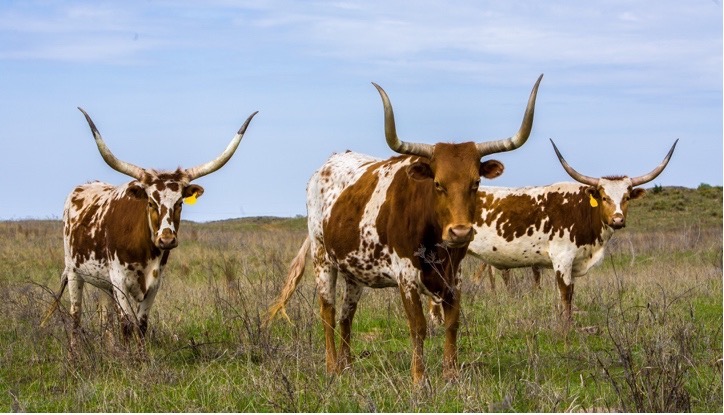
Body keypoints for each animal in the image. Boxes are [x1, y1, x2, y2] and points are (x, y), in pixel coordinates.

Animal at [42, 108, 258, 351]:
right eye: (151, 203)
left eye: (180, 203)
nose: (166, 240)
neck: (143, 251)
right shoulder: (119, 280)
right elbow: (127, 325)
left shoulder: (154, 283)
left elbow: (141, 325)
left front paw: (140, 356)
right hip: (73, 272)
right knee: (75, 317)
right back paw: (74, 352)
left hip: (104, 282)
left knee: (106, 315)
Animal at [266, 75, 543, 385]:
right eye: (438, 184)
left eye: (475, 183)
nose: (460, 233)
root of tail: (326, 165)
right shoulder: (406, 276)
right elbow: (418, 326)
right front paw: (419, 379)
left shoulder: (454, 276)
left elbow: (452, 322)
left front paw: (450, 374)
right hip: (322, 257)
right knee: (328, 312)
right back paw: (331, 367)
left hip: (353, 270)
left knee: (347, 315)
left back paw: (347, 366)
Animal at [464, 138, 678, 320]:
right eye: (604, 197)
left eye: (626, 197)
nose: (617, 220)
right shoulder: (562, 259)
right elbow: (565, 298)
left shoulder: (574, 264)